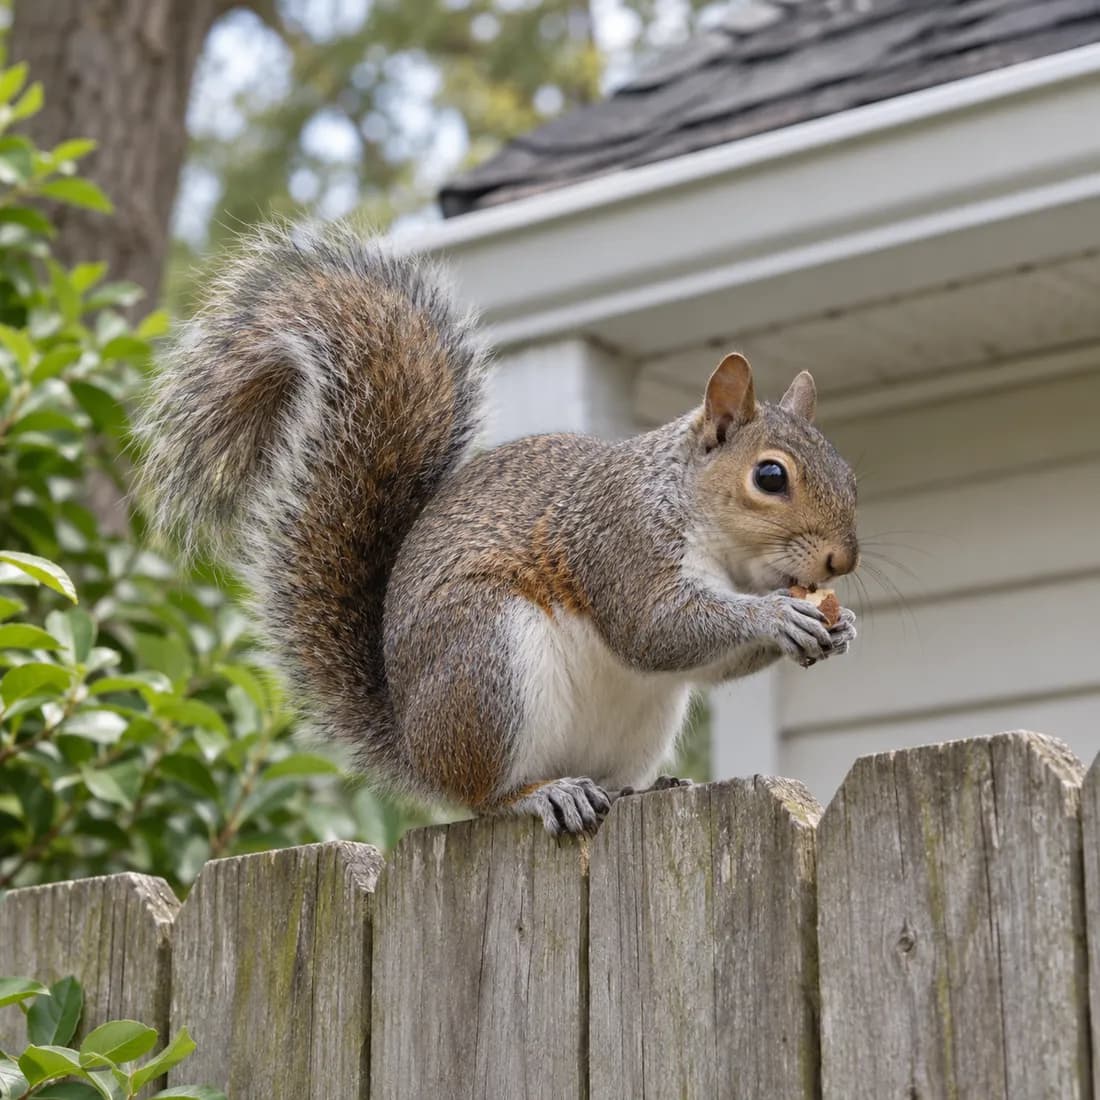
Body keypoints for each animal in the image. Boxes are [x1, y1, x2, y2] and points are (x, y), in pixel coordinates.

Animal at [138, 222, 860, 837]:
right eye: (770, 477)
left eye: (849, 471)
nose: (841, 562)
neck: (706, 529)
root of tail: (416, 747)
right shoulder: (620, 542)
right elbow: (655, 629)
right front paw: (776, 615)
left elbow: (706, 662)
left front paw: (838, 626)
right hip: (489, 660)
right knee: (483, 798)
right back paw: (542, 794)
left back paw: (642, 788)